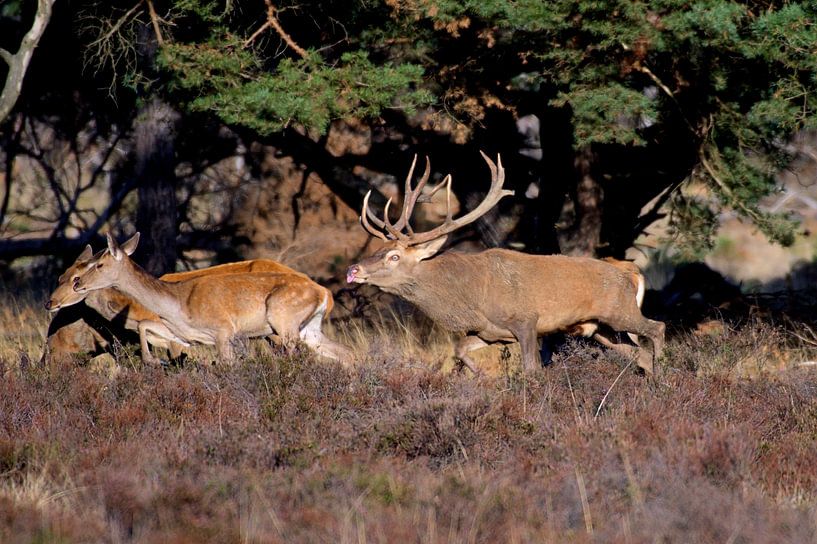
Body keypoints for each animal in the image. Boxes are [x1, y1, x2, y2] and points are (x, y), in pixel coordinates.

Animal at [63, 233, 353, 365]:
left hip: (283, 320)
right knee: (345, 353)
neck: (178, 305)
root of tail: (325, 294)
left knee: (297, 357)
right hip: (309, 329)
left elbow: (228, 364)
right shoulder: (184, 335)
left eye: (99, 265)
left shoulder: (224, 330)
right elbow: (145, 326)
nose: (78, 284)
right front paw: (153, 360)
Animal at [346, 152, 665, 374]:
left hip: (620, 310)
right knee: (638, 354)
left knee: (657, 328)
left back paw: (664, 378)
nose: (353, 270)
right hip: (602, 329)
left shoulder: (526, 320)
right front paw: (479, 375)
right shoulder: (489, 333)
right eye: (379, 247)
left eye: (394, 256)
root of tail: (632, 271)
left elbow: (532, 369)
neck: (472, 299)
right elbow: (458, 350)